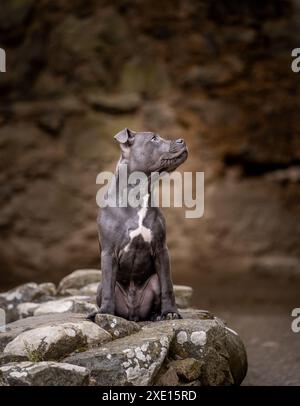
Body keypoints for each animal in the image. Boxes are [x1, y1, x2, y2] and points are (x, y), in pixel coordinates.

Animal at [88, 128, 188, 322]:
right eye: (154, 138)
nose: (182, 140)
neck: (138, 195)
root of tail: (133, 314)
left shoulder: (161, 249)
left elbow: (168, 285)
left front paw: (170, 312)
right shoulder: (108, 252)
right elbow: (108, 288)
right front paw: (104, 312)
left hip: (154, 281)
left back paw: (157, 315)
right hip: (99, 286)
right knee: (106, 288)